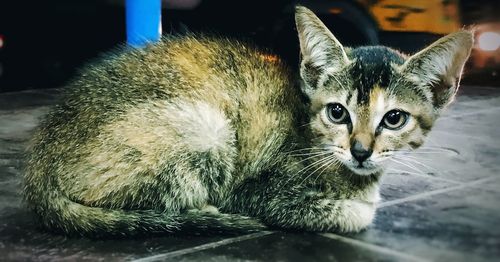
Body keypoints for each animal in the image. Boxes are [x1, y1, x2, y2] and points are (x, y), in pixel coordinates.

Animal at [22, 5, 472, 237]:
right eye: (337, 112)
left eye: (394, 118)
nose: (360, 151)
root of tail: (40, 162)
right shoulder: (257, 191)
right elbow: (357, 213)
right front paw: (359, 205)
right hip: (208, 130)